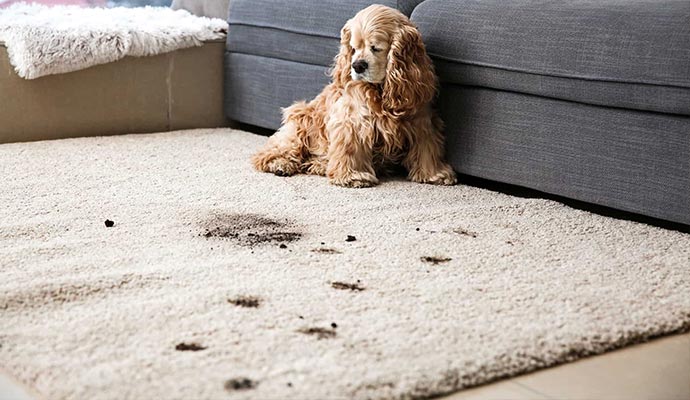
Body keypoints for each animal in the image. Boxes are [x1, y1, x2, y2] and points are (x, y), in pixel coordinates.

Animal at [250, 3, 454, 188]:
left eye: (375, 48)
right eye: (354, 48)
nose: (357, 65)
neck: (381, 90)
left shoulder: (422, 120)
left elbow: (427, 148)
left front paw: (435, 174)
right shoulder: (352, 121)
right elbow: (350, 148)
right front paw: (353, 177)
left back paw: (319, 165)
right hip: (299, 124)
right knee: (270, 151)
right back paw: (280, 164)